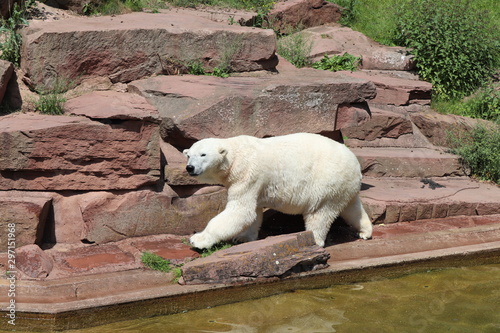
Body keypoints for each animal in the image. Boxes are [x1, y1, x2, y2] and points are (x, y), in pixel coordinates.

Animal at [184, 131, 372, 248]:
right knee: (352, 208)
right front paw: (242, 237)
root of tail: (355, 163)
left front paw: (198, 239)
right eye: (188, 155)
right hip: (344, 186)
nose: (190, 168)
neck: (236, 156)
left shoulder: (247, 175)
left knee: (319, 213)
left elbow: (241, 211)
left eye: (203, 155)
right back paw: (365, 231)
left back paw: (314, 240)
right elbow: (254, 213)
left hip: (327, 180)